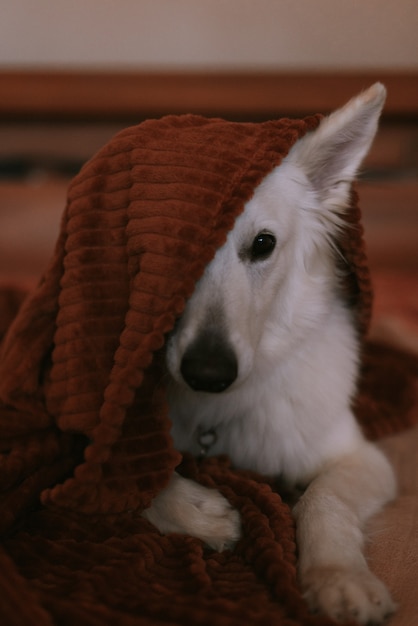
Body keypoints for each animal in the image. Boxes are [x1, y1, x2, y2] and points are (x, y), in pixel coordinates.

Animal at [143, 84, 396, 624]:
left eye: (262, 245)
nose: (207, 373)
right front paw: (196, 510)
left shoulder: (361, 458)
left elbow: (321, 499)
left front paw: (338, 578)